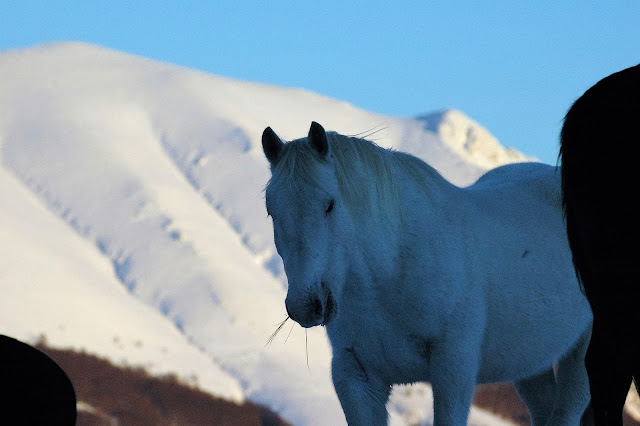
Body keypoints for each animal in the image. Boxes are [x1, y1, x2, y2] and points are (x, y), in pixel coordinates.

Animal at [262, 122, 592, 425]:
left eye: (329, 205)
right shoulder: (356, 378)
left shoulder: (453, 370)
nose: (305, 305)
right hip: (530, 359)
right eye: (271, 210)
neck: (390, 274)